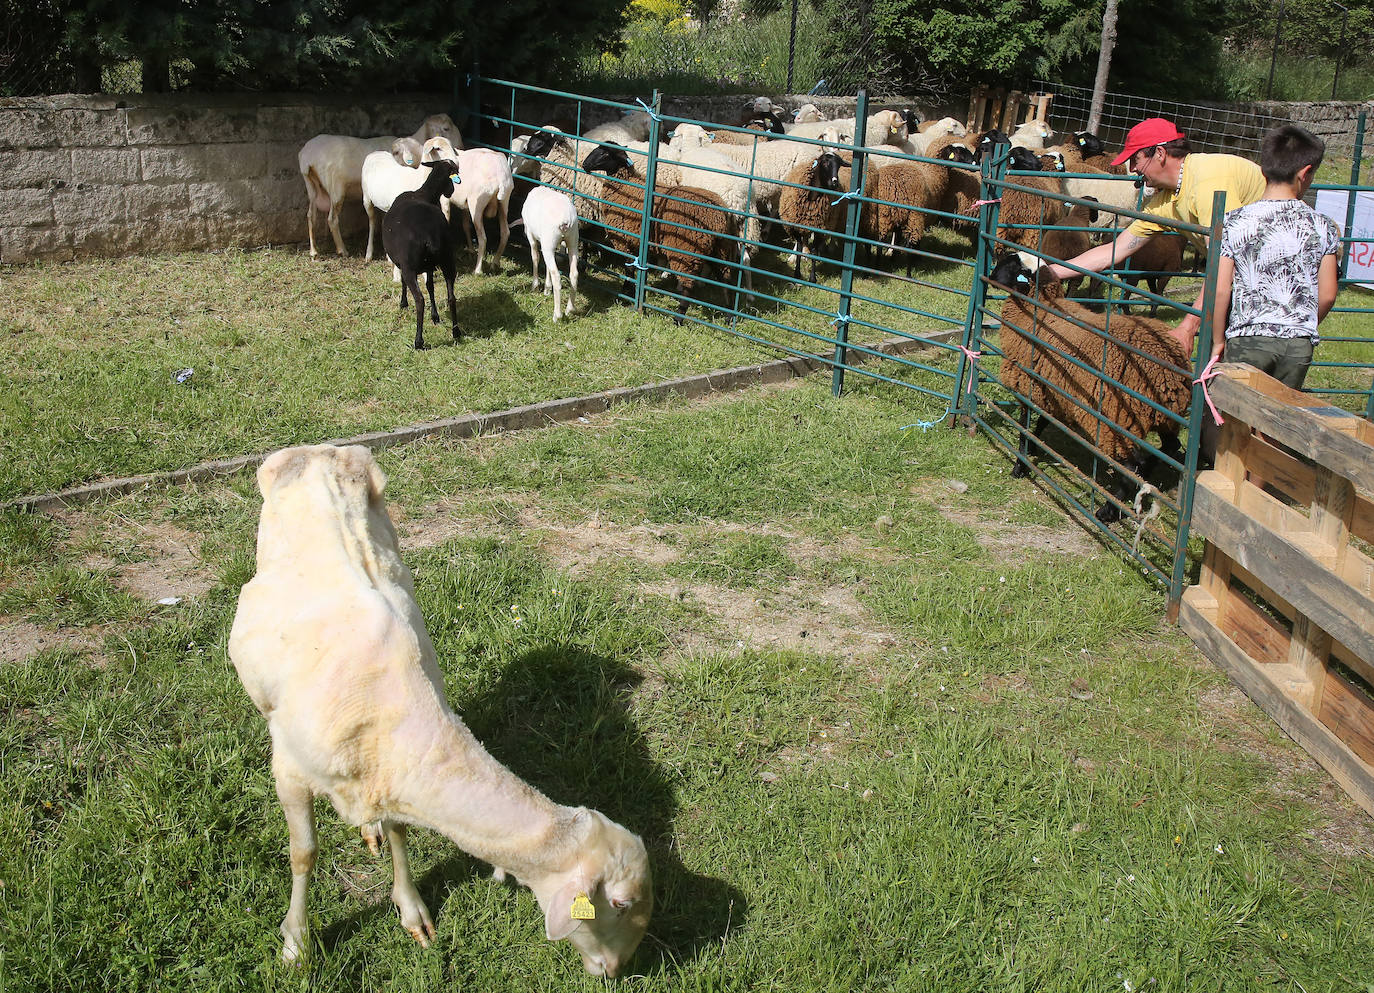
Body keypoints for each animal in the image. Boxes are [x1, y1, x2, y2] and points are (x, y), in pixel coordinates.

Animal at [228, 447, 651, 972]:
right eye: (618, 903)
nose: (617, 970)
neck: (390, 716)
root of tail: (317, 451)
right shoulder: (288, 768)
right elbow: (304, 853)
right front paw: (295, 945)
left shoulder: (390, 778)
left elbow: (398, 834)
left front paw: (412, 912)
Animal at [296, 113, 461, 259]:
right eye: (446, 128)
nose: (460, 147)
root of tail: (307, 155)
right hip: (336, 187)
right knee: (332, 219)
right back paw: (342, 250)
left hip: (310, 184)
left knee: (311, 215)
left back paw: (313, 251)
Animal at [516, 188, 577, 320]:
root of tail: (565, 220)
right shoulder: (548, 245)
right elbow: (547, 265)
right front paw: (547, 288)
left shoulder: (531, 236)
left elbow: (535, 257)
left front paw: (535, 285)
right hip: (572, 241)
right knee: (574, 274)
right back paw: (569, 309)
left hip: (550, 239)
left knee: (556, 276)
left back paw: (557, 315)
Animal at [989, 252, 1192, 524]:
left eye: (1008, 266)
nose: (990, 276)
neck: (1038, 307)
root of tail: (1169, 370)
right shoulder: (1052, 390)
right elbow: (1041, 424)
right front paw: (1033, 450)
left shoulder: (1030, 386)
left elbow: (1025, 429)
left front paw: (1019, 465)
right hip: (1164, 418)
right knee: (1169, 447)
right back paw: (1147, 473)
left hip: (1118, 420)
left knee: (1131, 466)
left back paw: (1108, 510)